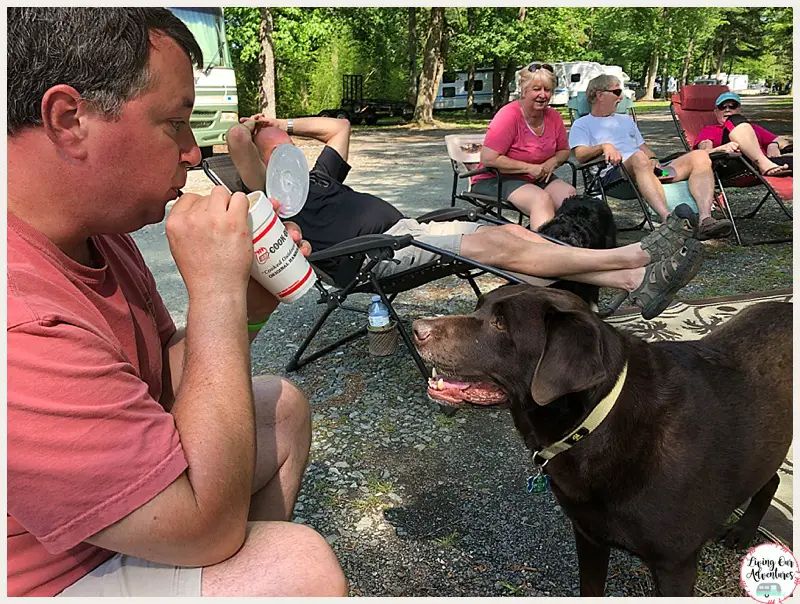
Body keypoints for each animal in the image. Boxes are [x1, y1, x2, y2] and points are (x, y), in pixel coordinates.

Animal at [416, 288, 792, 596]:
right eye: (479, 307)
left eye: (500, 324)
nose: (418, 329)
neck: (596, 423)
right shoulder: (589, 536)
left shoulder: (675, 565)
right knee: (770, 476)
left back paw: (743, 530)